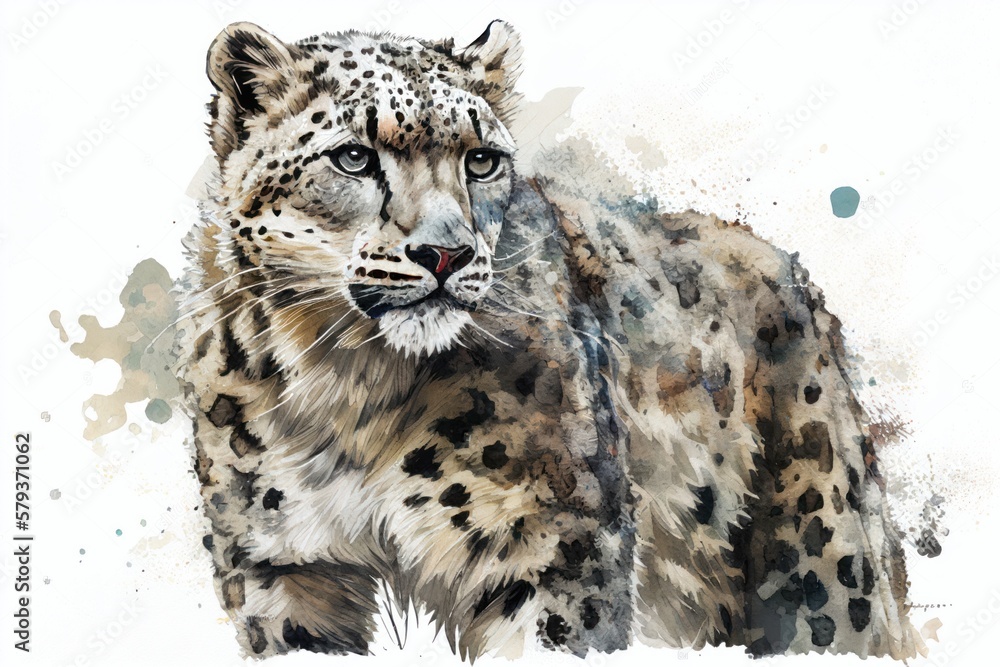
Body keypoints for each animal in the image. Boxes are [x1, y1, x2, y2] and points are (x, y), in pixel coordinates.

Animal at [178, 19, 923, 660]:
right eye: (354, 156)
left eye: (481, 160)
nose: (445, 253)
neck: (352, 387)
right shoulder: (282, 562)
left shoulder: (556, 548)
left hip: (821, 565)